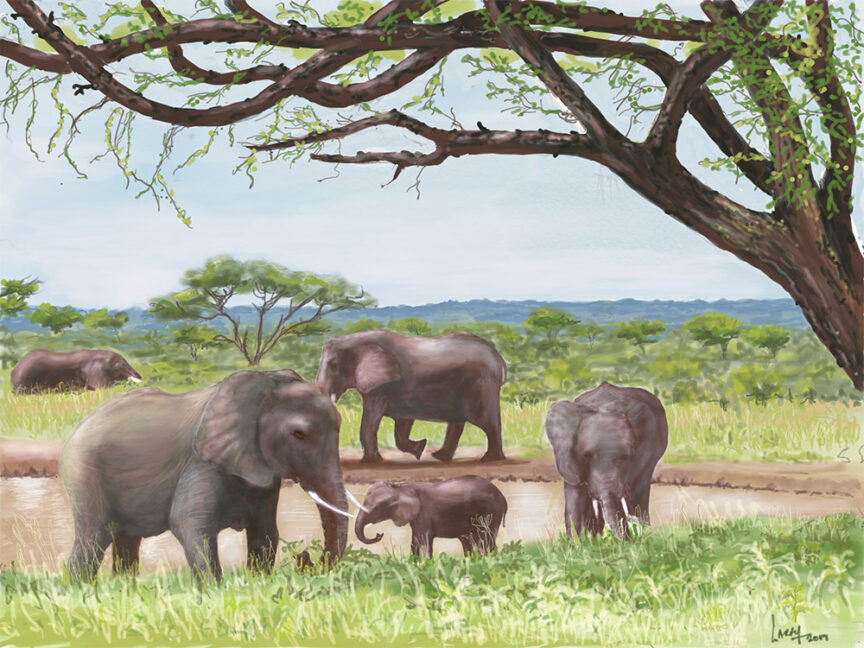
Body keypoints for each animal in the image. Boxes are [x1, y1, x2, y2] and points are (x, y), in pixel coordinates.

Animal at [60, 369, 351, 580]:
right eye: (299, 434)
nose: (305, 558)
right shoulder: (200, 463)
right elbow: (189, 524)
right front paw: (214, 591)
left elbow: (266, 531)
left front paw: (258, 582)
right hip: (84, 472)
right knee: (93, 538)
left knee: (125, 540)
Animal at [316, 330, 507, 463]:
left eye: (333, 364)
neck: (353, 339)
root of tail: (499, 358)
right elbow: (402, 425)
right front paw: (419, 448)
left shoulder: (381, 388)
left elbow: (370, 422)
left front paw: (371, 461)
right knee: (457, 422)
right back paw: (440, 457)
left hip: (481, 385)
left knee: (486, 421)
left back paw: (490, 459)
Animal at [354, 475, 507, 557]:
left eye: (376, 508)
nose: (379, 534)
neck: (401, 488)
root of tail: (502, 497)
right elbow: (415, 542)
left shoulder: (424, 514)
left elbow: (423, 543)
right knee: (469, 541)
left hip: (490, 513)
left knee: (484, 540)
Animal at [545, 381, 668, 541]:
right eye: (586, 456)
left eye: (625, 457)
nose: (630, 541)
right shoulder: (567, 459)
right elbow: (575, 499)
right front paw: (577, 544)